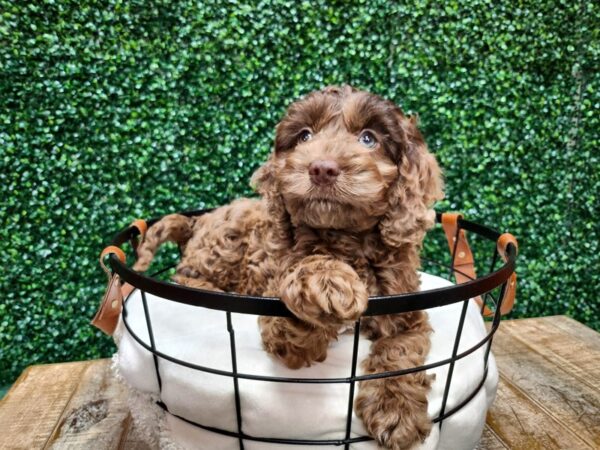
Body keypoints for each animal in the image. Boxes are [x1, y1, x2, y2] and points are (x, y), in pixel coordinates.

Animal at [134, 85, 442, 450]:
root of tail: (197, 222)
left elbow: (399, 352)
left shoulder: (409, 313)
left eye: (369, 138)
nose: (321, 168)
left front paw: (396, 411)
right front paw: (326, 284)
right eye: (304, 136)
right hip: (224, 244)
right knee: (187, 276)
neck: (346, 237)